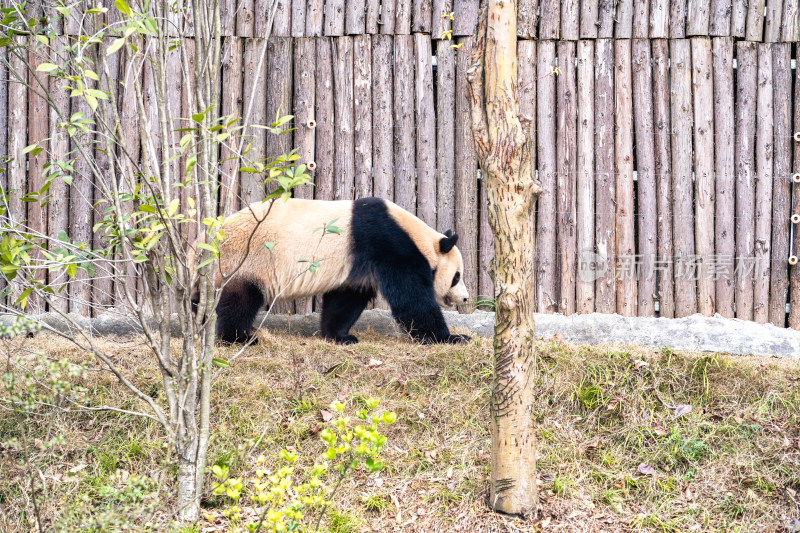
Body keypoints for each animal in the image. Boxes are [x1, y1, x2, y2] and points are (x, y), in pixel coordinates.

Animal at [203, 196, 472, 344]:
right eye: (457, 277)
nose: (466, 298)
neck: (419, 238)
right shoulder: (389, 244)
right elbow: (412, 298)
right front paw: (452, 338)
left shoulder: (359, 264)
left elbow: (347, 298)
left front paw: (340, 337)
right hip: (246, 260)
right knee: (240, 300)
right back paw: (238, 338)